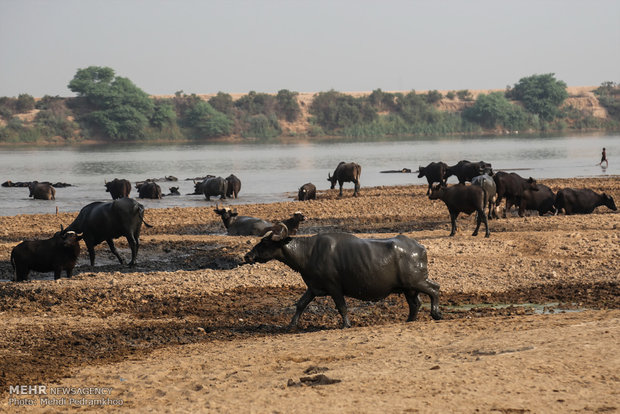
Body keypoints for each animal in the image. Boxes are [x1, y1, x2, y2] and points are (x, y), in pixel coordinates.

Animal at [242, 223, 440, 330]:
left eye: (265, 242)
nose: (248, 256)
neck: (308, 253)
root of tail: (419, 248)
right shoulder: (313, 288)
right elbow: (300, 304)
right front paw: (291, 325)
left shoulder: (334, 287)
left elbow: (342, 307)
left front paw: (346, 324)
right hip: (408, 288)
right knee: (415, 303)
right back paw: (409, 320)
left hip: (417, 281)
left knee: (435, 289)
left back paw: (436, 313)